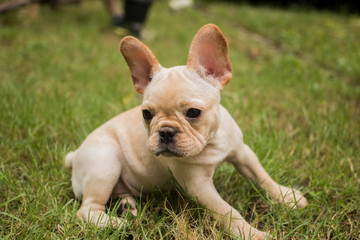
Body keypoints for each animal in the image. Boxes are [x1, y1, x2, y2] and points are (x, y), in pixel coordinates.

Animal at [64, 23, 306, 238]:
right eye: (146, 115)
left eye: (193, 113)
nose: (166, 131)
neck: (211, 142)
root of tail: (75, 156)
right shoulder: (198, 185)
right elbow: (228, 211)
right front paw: (252, 234)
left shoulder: (242, 152)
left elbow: (261, 176)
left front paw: (286, 196)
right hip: (105, 163)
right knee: (87, 208)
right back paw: (114, 223)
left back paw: (126, 205)